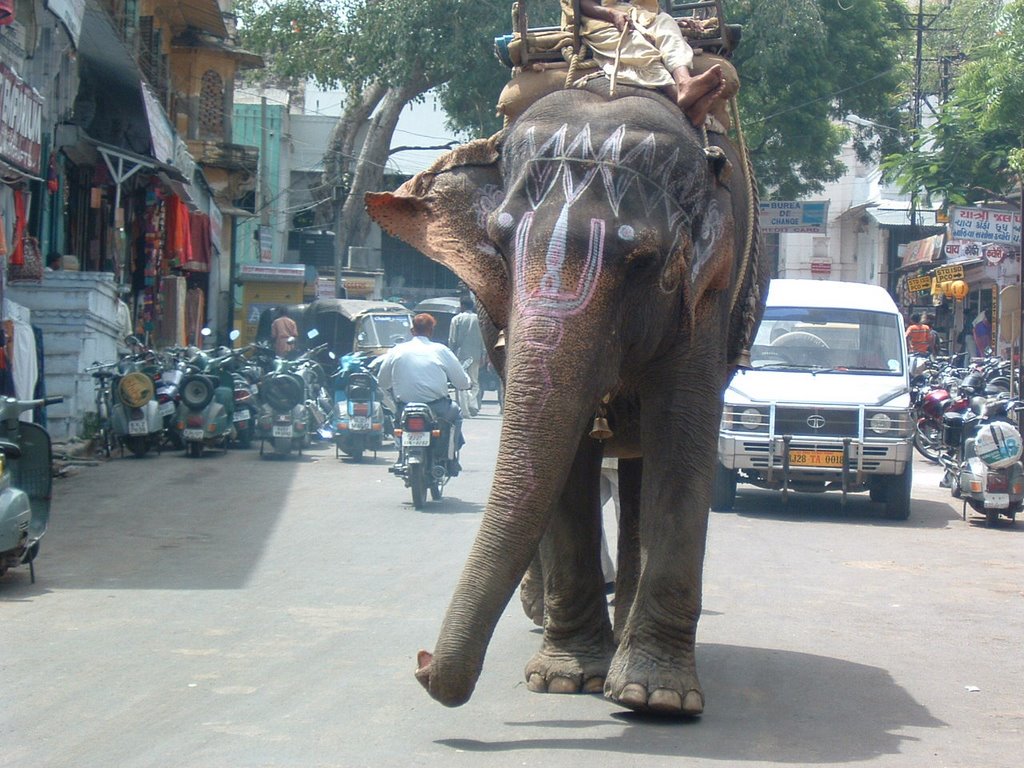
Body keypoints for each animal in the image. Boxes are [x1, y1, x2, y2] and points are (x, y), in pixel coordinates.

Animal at [364, 81, 765, 720]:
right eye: (497, 245)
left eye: (643, 261)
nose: (422, 663)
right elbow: (565, 462)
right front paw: (565, 680)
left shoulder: (710, 298)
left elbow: (682, 440)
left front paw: (657, 698)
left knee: (639, 469)